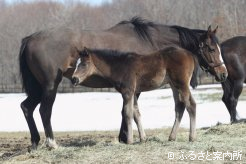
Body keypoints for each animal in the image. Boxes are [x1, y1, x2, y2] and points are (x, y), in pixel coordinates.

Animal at [18, 17, 227, 149]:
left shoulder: (132, 89)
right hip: (49, 86)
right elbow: (128, 112)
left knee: (27, 107)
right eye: (211, 48)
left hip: (38, 88)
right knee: (44, 111)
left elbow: (130, 111)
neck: (151, 41)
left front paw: (127, 137)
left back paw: (35, 142)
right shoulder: (134, 89)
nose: (223, 74)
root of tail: (29, 38)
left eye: (218, 48)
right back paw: (51, 143)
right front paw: (127, 137)